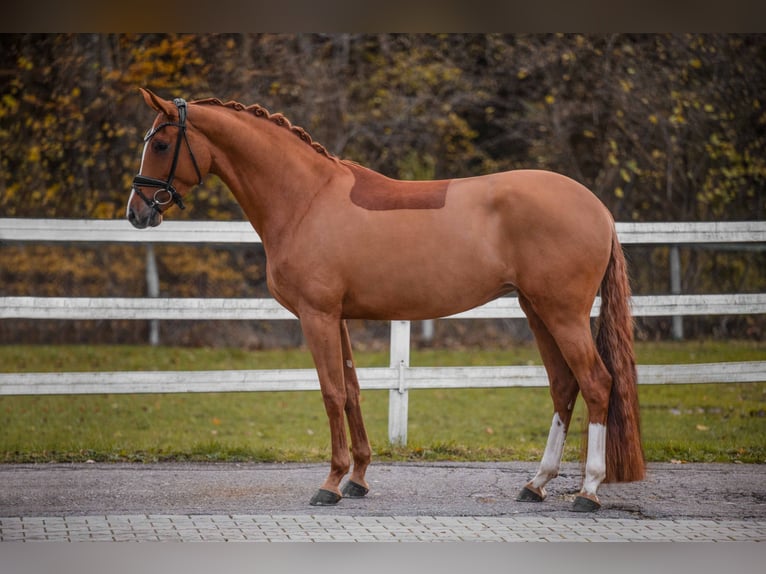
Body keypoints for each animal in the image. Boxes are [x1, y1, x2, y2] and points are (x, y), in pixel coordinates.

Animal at [127, 90, 648, 512]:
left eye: (161, 145)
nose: (137, 213)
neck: (306, 199)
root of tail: (598, 208)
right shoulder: (337, 317)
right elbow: (353, 390)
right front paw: (357, 478)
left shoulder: (317, 316)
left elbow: (331, 393)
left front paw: (331, 483)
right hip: (536, 311)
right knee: (564, 386)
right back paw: (536, 484)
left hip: (563, 315)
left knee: (597, 383)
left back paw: (589, 490)